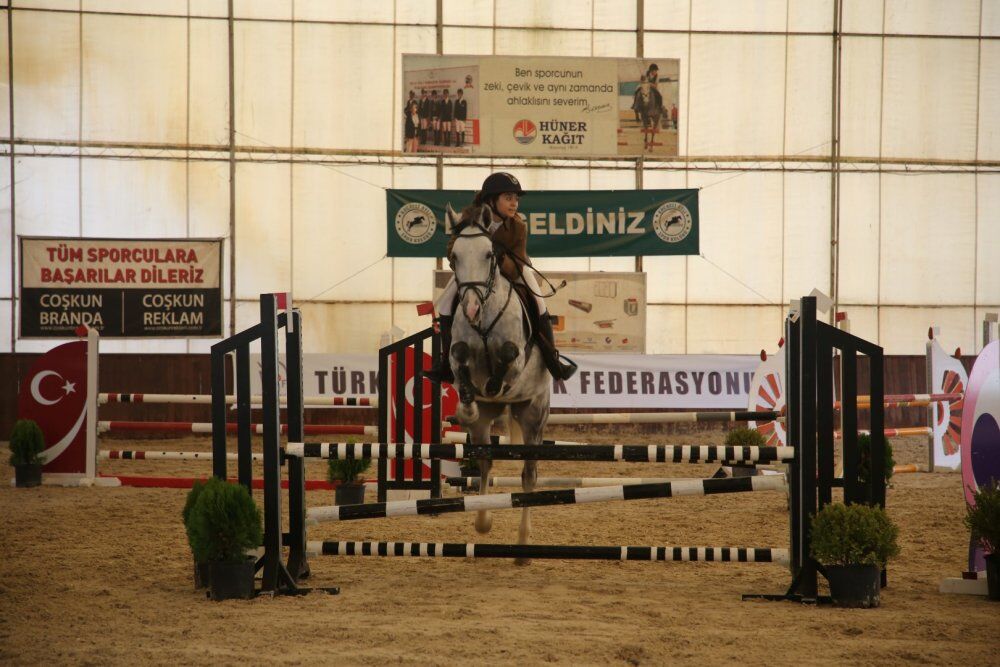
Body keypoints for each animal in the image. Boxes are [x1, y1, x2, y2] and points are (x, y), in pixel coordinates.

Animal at [444, 202, 551, 564]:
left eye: (490, 254)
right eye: (453, 256)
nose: (471, 308)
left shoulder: (515, 358)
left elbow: (506, 357)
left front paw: (492, 383)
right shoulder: (457, 353)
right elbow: (460, 359)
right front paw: (467, 405)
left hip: (533, 416)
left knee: (529, 476)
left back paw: (522, 547)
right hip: (485, 428)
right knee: (485, 462)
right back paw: (482, 522)